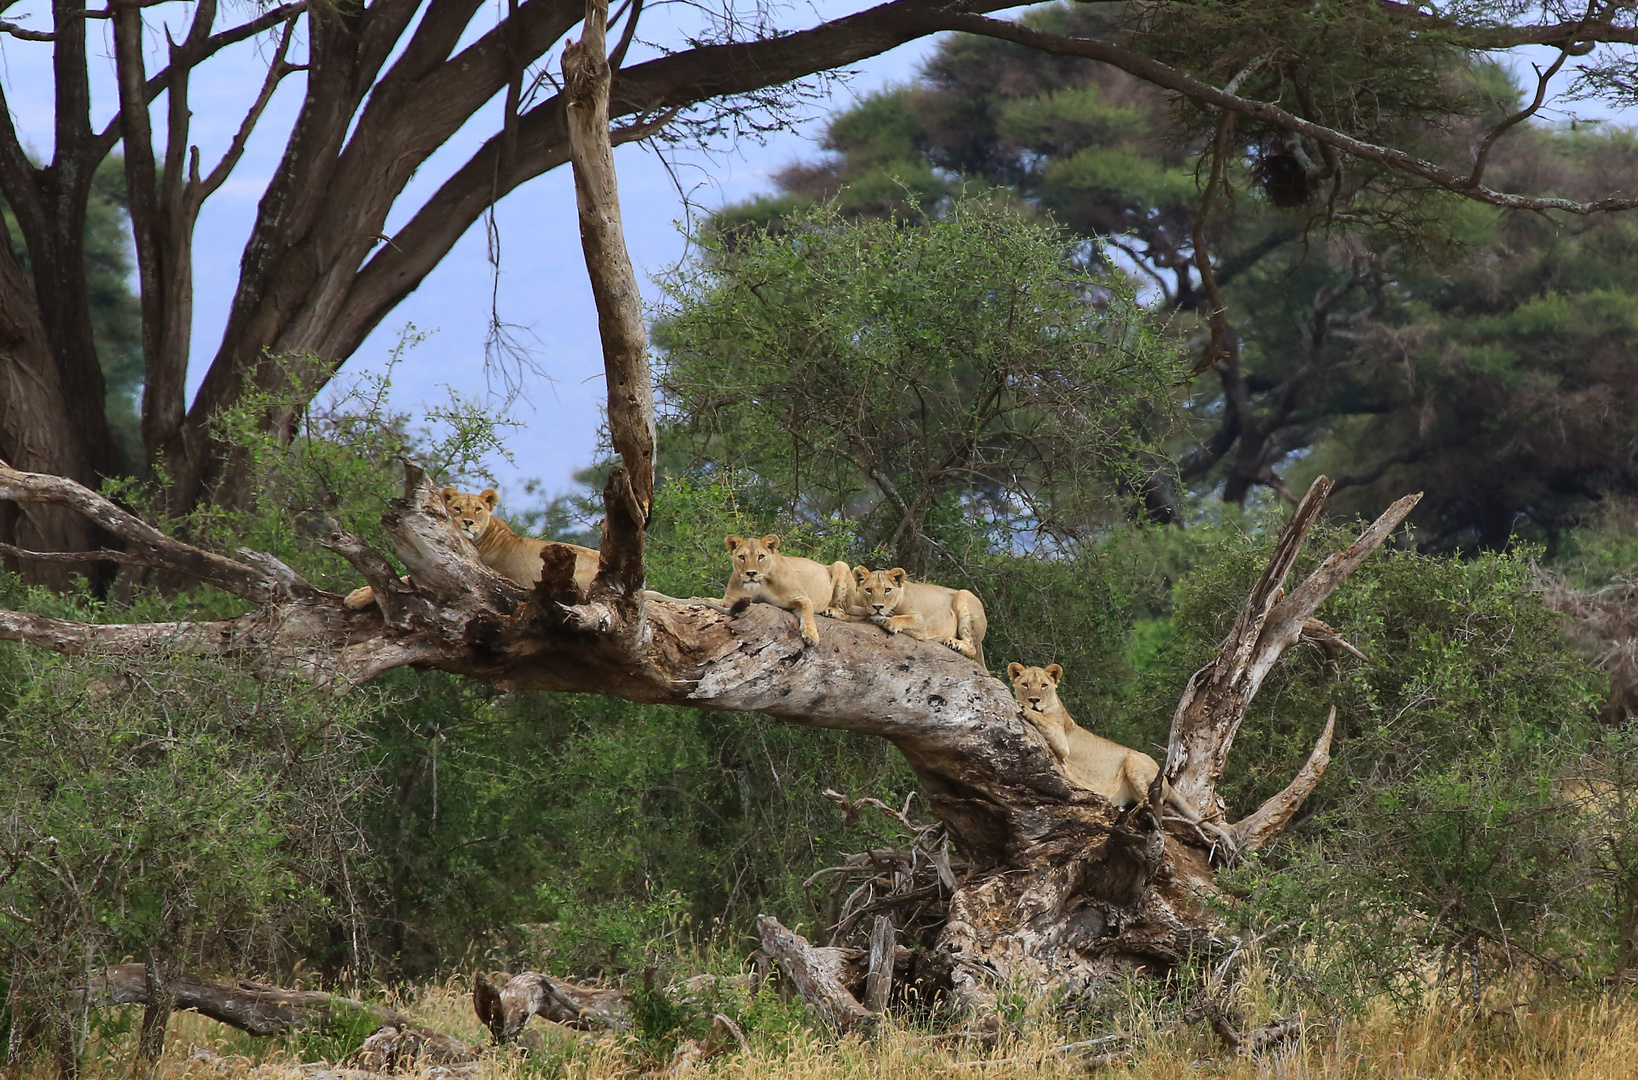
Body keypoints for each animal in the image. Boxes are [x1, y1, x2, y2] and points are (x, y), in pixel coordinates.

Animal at [635, 534, 851, 645]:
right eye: (742, 557)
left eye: (761, 556)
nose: (751, 573)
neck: (761, 584)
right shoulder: (730, 600)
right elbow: (711, 600)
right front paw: (697, 598)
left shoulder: (800, 597)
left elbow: (807, 611)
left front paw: (811, 635)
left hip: (841, 565)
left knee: (849, 613)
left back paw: (831, 611)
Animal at [845, 567, 982, 668]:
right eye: (869, 590)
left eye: (887, 590)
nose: (878, 607)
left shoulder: (921, 624)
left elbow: (905, 618)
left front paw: (889, 622)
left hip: (963, 594)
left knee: (972, 647)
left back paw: (954, 643)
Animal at [1002, 658, 1231, 852]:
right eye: (1025, 684)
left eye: (1043, 685)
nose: (1034, 700)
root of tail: (1167, 781)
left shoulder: (1061, 740)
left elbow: (1043, 721)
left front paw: (1024, 708)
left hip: (1134, 760)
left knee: (1151, 804)